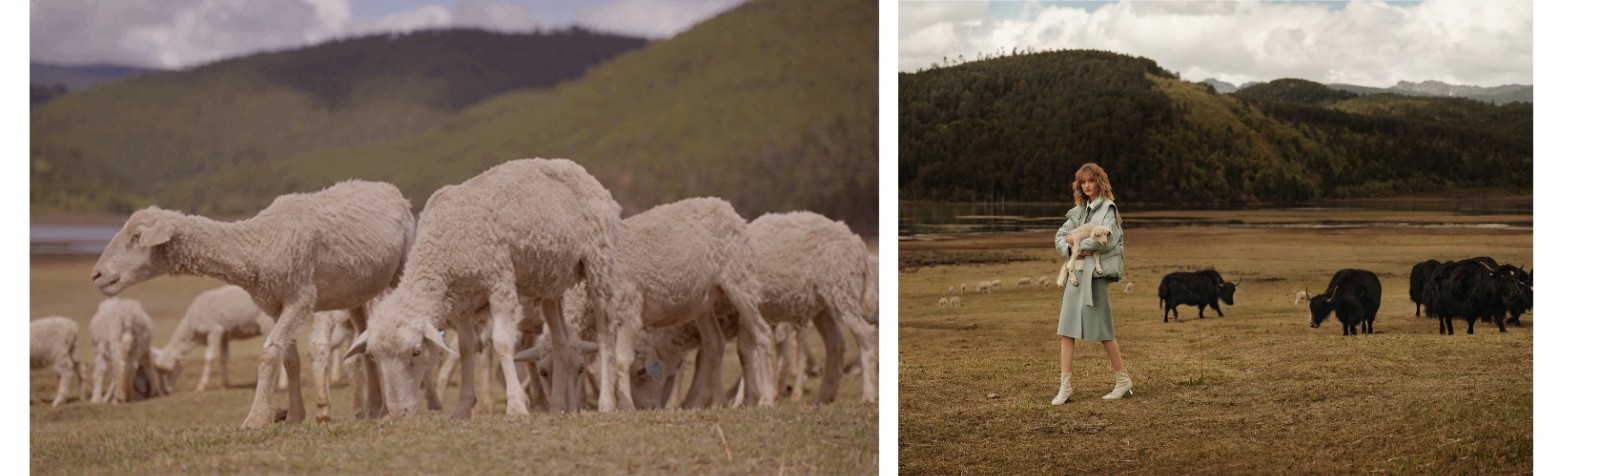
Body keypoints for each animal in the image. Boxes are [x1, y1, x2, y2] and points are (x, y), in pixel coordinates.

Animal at [90, 179, 416, 428]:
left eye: (136, 237)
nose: (96, 274)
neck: (258, 244)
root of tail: (388, 188)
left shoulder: (300, 299)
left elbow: (269, 354)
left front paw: (255, 418)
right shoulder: (273, 305)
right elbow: (290, 360)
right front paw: (294, 415)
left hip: (400, 267)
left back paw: (385, 407)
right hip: (357, 293)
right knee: (363, 339)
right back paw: (374, 408)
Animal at [347, 158, 620, 415]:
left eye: (415, 352)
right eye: (373, 356)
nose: (397, 412)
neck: (442, 247)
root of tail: (580, 170)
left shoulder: (499, 281)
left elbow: (501, 342)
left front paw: (516, 406)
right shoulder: (462, 303)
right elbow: (466, 350)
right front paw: (463, 408)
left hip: (598, 263)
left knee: (606, 335)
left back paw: (606, 403)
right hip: (549, 282)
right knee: (560, 341)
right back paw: (555, 408)